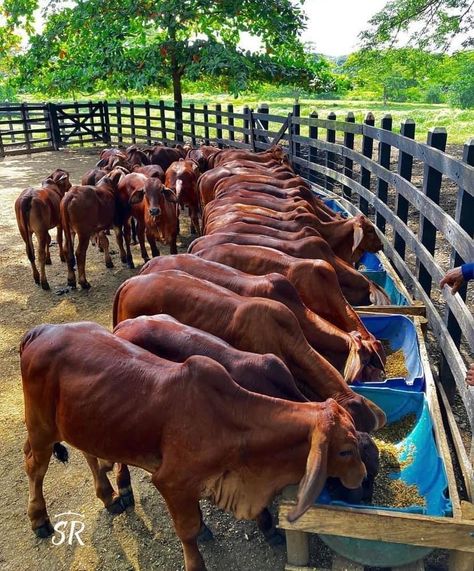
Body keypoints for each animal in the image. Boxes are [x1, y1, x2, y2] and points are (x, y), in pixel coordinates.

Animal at [18, 322, 366, 571]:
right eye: (345, 450)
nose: (361, 477)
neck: (231, 420)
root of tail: (42, 330)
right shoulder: (172, 481)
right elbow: (187, 529)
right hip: (41, 426)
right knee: (34, 464)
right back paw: (40, 519)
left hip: (85, 421)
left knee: (88, 455)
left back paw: (109, 497)